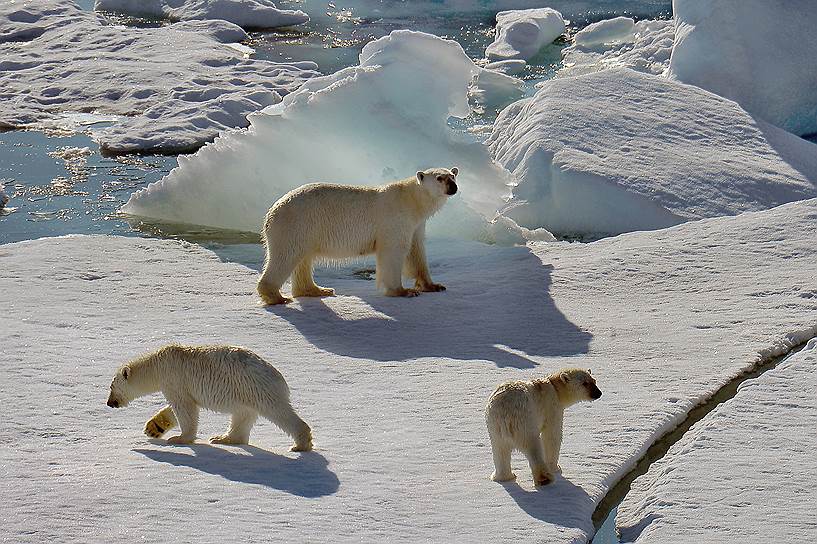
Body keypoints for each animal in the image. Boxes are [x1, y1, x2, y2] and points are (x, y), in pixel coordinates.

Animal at [107, 344, 310, 450]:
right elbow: (178, 407)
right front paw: (153, 428)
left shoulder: (174, 378)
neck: (157, 364)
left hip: (256, 387)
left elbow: (185, 408)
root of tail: (279, 376)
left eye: (112, 386)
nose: (109, 403)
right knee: (242, 417)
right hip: (245, 394)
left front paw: (179, 439)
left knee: (279, 412)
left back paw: (300, 444)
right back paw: (223, 438)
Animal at [256, 166, 460, 304]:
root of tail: (270, 213)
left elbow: (416, 251)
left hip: (306, 230)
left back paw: (317, 290)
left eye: (452, 175)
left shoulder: (416, 224)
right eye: (439, 178)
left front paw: (433, 286)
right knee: (286, 256)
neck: (410, 200)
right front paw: (402, 291)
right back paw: (277, 297)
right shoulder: (394, 219)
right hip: (295, 224)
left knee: (303, 259)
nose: (453, 187)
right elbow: (394, 250)